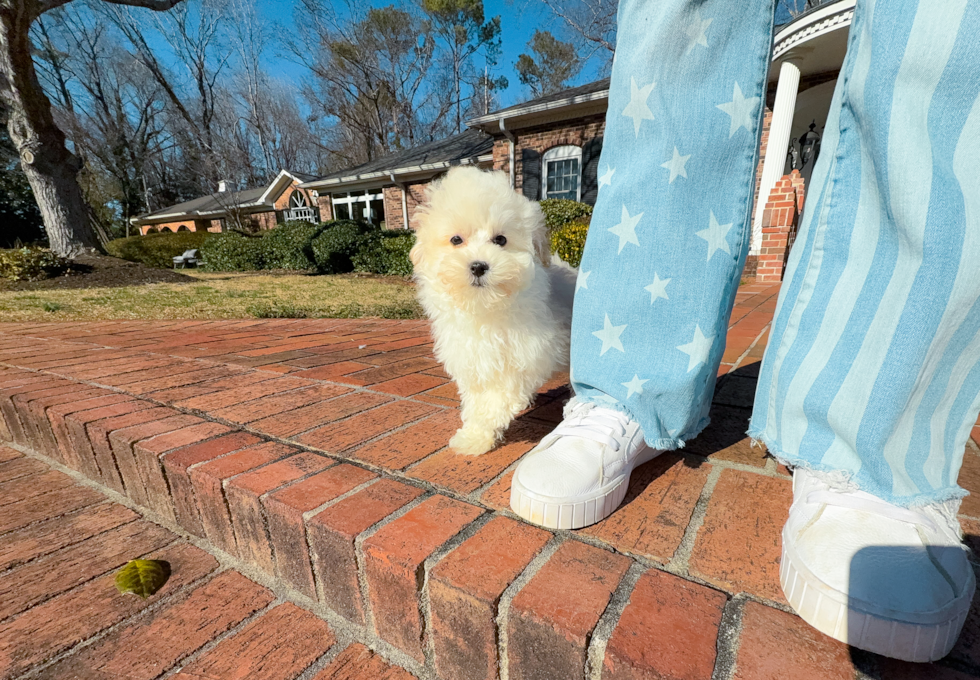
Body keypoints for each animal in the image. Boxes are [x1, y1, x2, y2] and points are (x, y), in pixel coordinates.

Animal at [412, 166, 580, 456]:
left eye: (501, 239)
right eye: (456, 239)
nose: (479, 266)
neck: (486, 306)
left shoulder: (522, 358)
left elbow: (497, 400)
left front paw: (475, 437)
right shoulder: (473, 356)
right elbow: (477, 397)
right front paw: (473, 435)